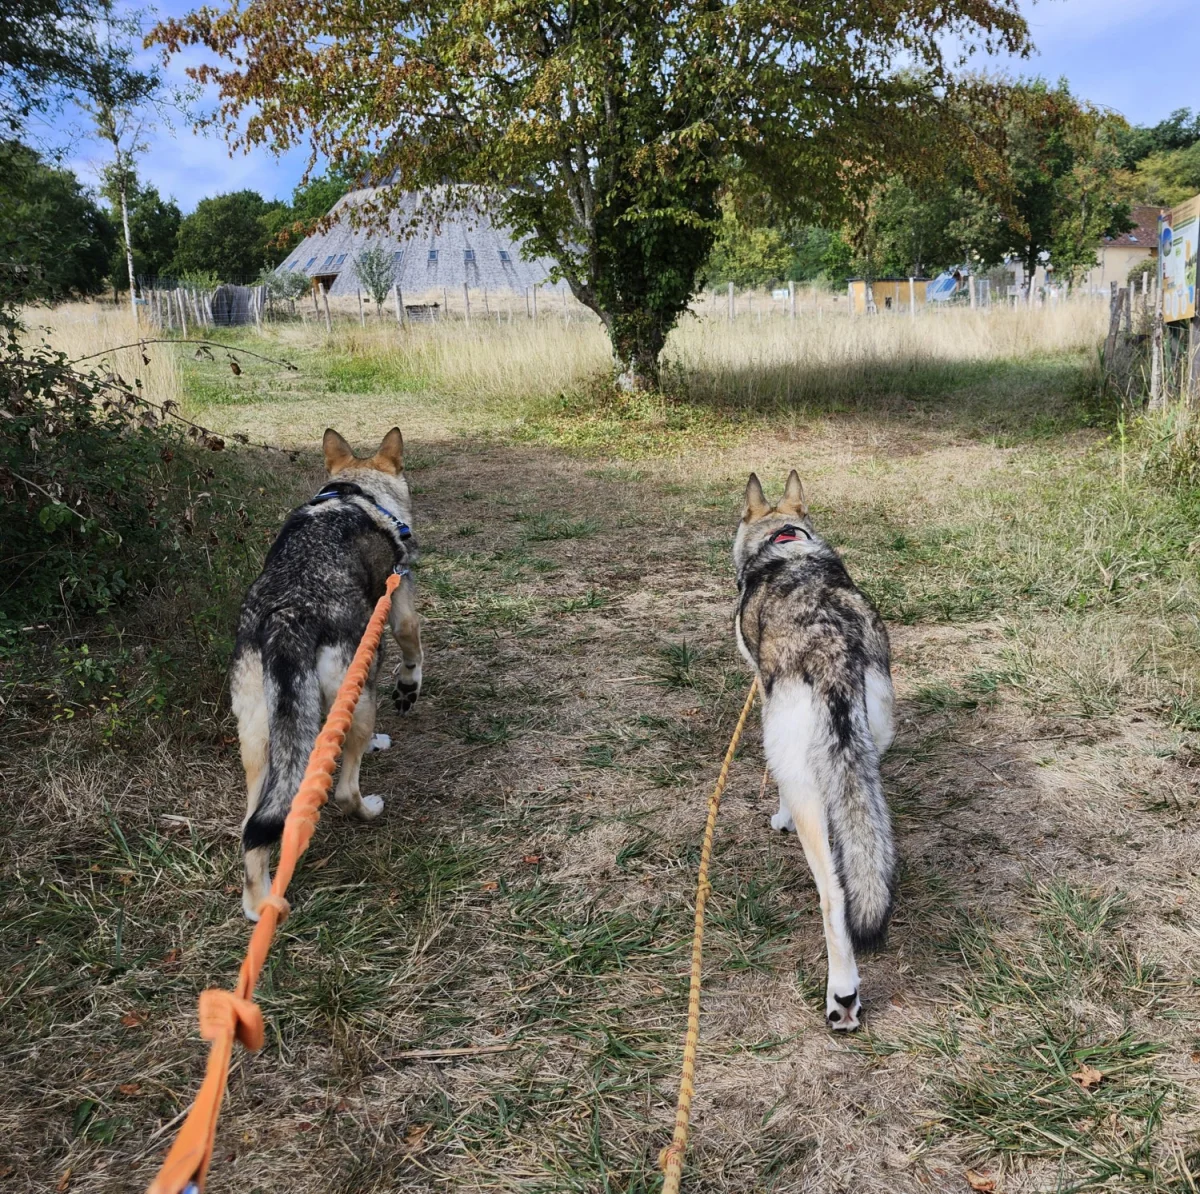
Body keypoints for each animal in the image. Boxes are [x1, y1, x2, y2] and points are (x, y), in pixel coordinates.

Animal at [229, 428, 424, 921]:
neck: (357, 493)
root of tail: (288, 616)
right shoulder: (400, 605)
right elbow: (412, 649)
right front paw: (408, 690)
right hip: (359, 695)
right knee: (344, 792)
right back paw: (370, 808)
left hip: (261, 743)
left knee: (252, 829)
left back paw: (262, 905)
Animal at [733, 471, 896, 1031]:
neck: (785, 540)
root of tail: (832, 654)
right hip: (868, 755)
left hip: (809, 791)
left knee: (834, 895)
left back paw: (842, 995)